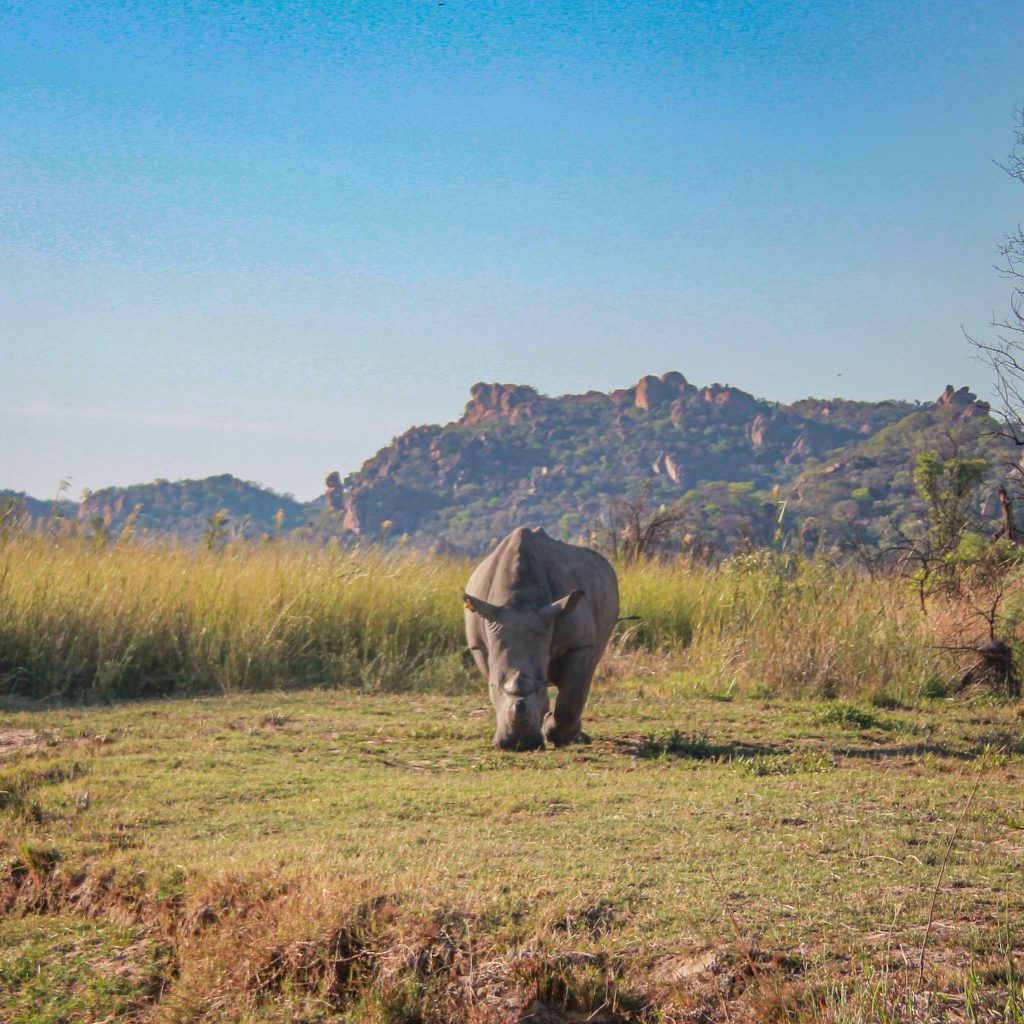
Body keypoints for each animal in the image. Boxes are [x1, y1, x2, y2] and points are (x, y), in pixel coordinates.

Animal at [463, 527, 619, 751]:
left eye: (543, 683)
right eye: (493, 686)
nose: (520, 745)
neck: (520, 602)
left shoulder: (579, 644)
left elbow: (571, 698)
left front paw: (559, 736)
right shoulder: (480, 644)